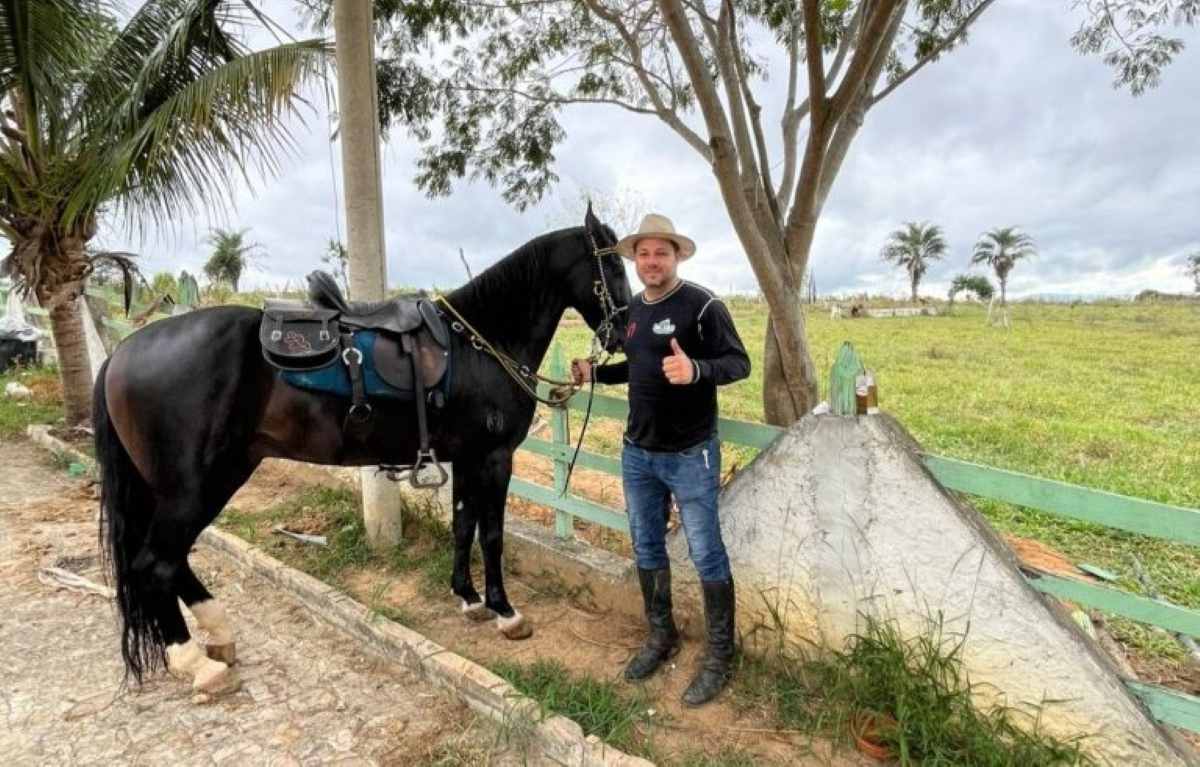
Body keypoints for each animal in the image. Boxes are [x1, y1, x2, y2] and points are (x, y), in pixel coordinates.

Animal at [93, 209, 631, 695]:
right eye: (614, 266)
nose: (623, 332)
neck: (483, 342)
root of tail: (124, 352)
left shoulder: (466, 458)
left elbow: (463, 526)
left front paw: (468, 598)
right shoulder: (494, 459)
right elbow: (493, 535)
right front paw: (505, 611)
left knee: (170, 559)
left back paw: (218, 636)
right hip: (197, 485)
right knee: (156, 562)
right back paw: (196, 662)